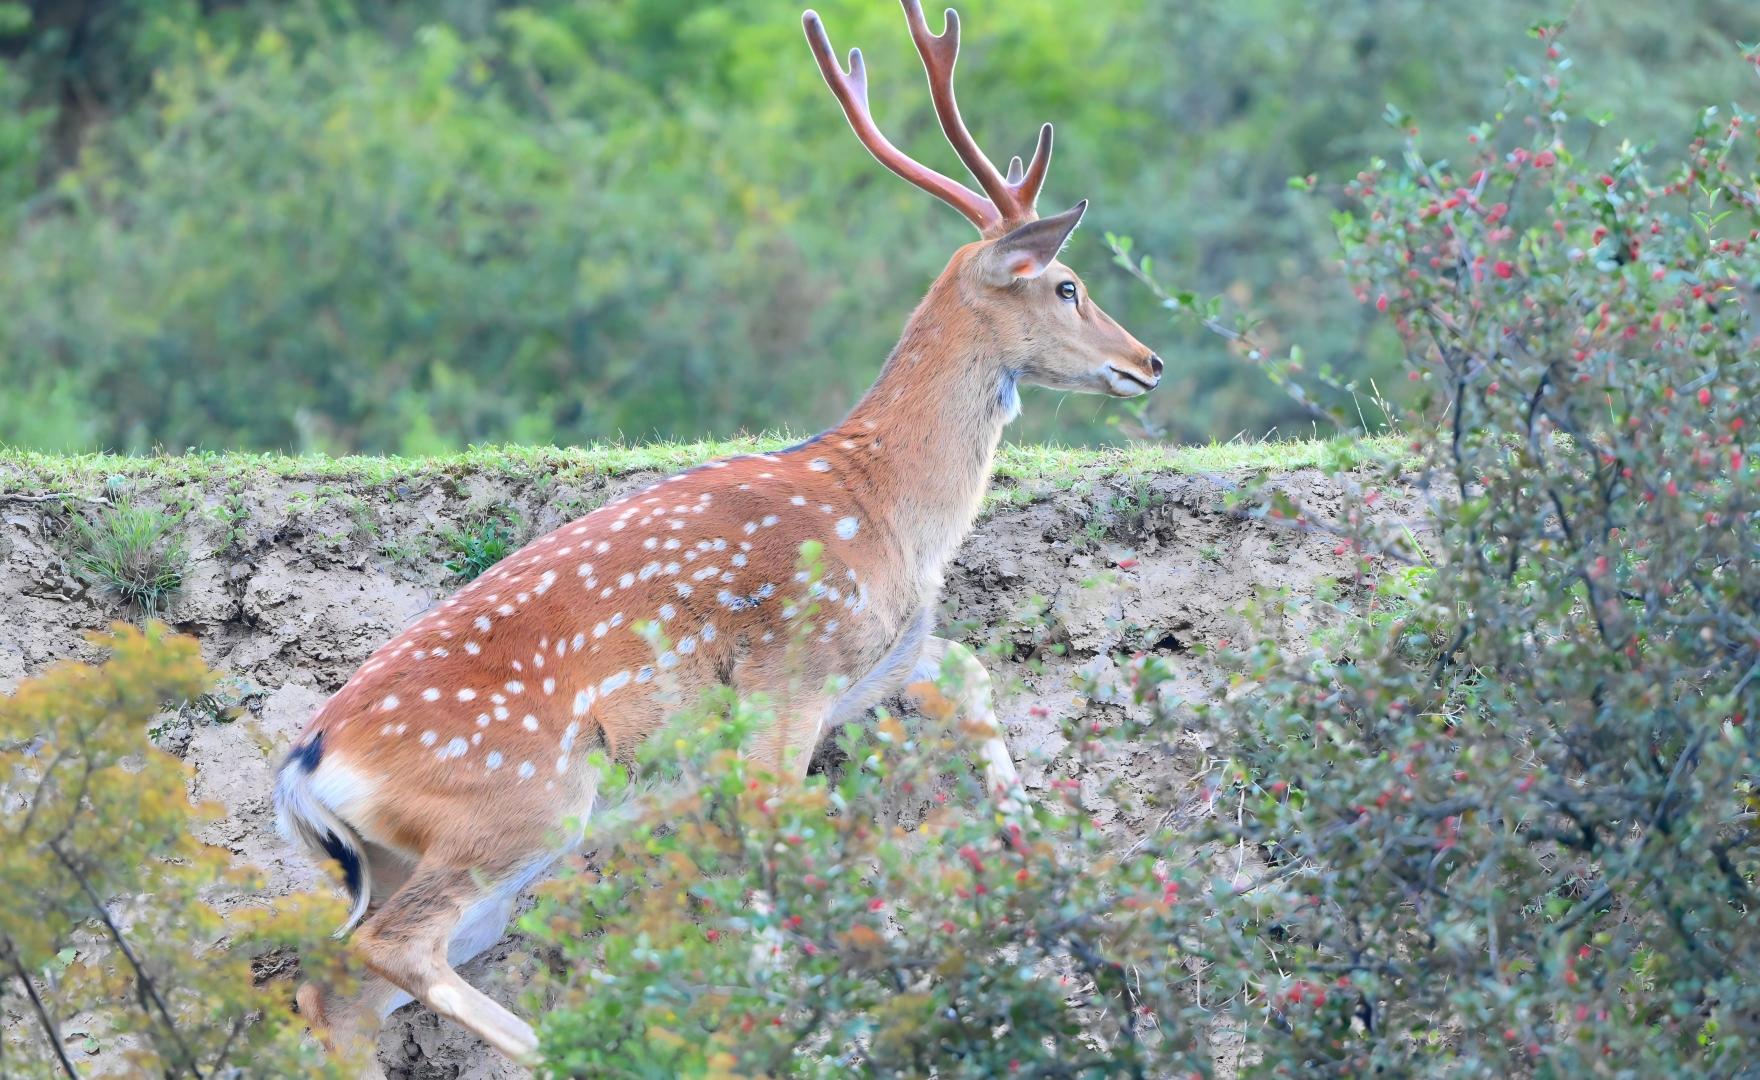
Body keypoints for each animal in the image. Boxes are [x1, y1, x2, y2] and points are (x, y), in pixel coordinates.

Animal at [272, 0, 1161, 1072]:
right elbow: (780, 845)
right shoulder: (793, 669)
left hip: (415, 858)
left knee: (336, 989)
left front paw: (1040, 863)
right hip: (523, 802)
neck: (888, 510)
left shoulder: (880, 656)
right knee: (392, 952)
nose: (1148, 361)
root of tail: (302, 771)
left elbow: (972, 672)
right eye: (1066, 284)